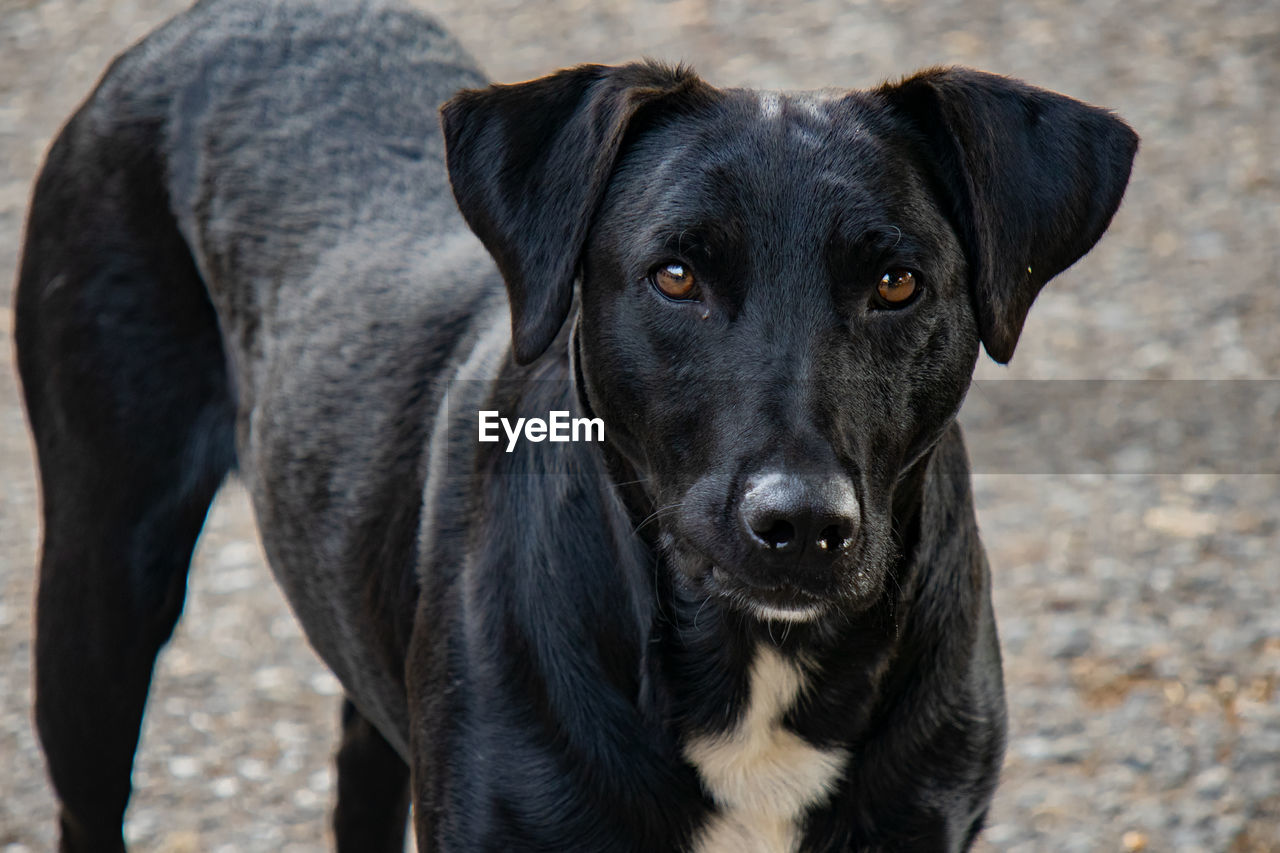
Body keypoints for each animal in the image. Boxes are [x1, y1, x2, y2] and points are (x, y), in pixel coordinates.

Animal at [15, 0, 1136, 845]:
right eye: (675, 275)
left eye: (897, 283)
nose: (802, 525)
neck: (753, 668)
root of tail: (228, 13)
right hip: (102, 578)